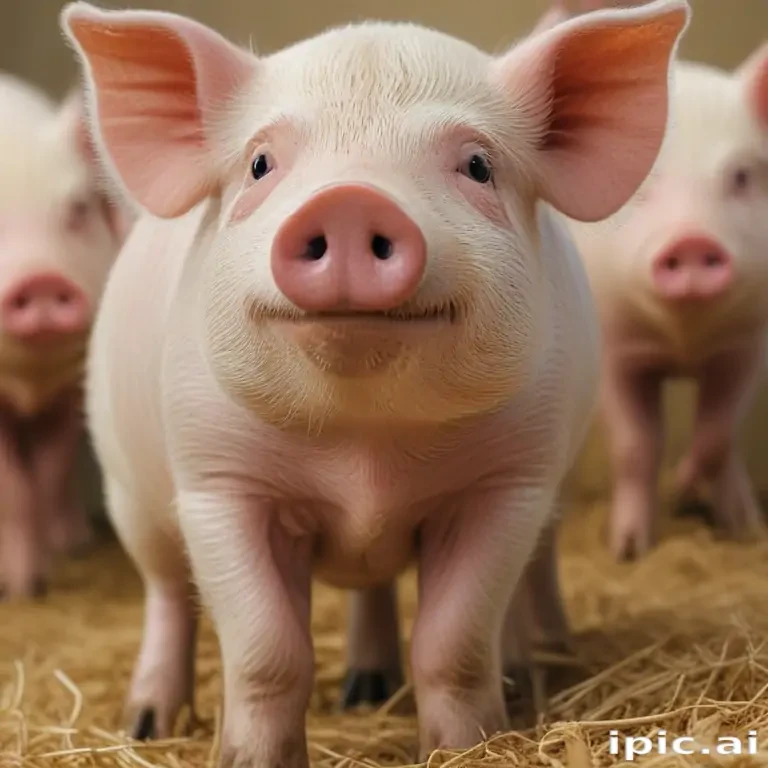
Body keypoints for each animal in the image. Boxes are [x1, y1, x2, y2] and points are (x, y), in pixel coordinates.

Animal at [62, 0, 688, 764]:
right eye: (260, 163)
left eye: (478, 165)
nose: (350, 200)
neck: (365, 450)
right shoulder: (217, 485)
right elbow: (267, 652)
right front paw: (249, 757)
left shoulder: (508, 485)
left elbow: (453, 642)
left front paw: (468, 746)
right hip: (130, 492)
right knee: (167, 594)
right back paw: (150, 723)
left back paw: (445, 682)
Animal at [542, 0, 768, 561]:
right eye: (640, 183)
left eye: (741, 177)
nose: (691, 240)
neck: (683, 339)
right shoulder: (616, 349)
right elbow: (636, 445)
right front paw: (627, 550)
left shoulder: (746, 343)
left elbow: (717, 436)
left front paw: (687, 491)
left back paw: (742, 523)